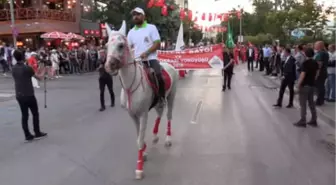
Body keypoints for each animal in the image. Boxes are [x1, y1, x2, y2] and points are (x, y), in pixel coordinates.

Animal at [105, 21, 180, 179]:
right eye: (106, 45)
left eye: (121, 45)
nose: (109, 66)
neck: (130, 86)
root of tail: (170, 65)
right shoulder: (132, 115)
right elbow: (138, 136)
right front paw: (144, 151)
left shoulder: (143, 114)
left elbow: (139, 139)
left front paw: (139, 168)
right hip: (158, 101)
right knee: (159, 113)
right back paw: (155, 135)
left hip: (172, 96)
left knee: (168, 115)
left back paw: (168, 139)